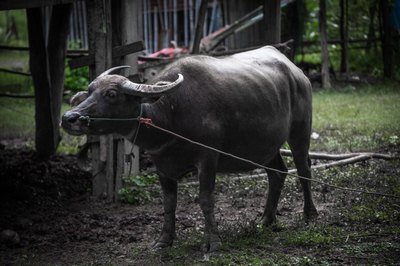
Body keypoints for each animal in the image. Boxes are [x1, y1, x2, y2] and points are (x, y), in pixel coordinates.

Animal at [61, 45, 318, 251]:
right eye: (90, 91)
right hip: (265, 145)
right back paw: (266, 219)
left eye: (112, 93)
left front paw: (212, 242)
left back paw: (309, 214)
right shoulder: (162, 166)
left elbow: (205, 199)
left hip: (300, 130)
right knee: (277, 173)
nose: (69, 118)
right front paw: (163, 241)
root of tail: (296, 72)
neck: (171, 114)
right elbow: (168, 203)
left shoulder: (208, 159)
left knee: (304, 169)